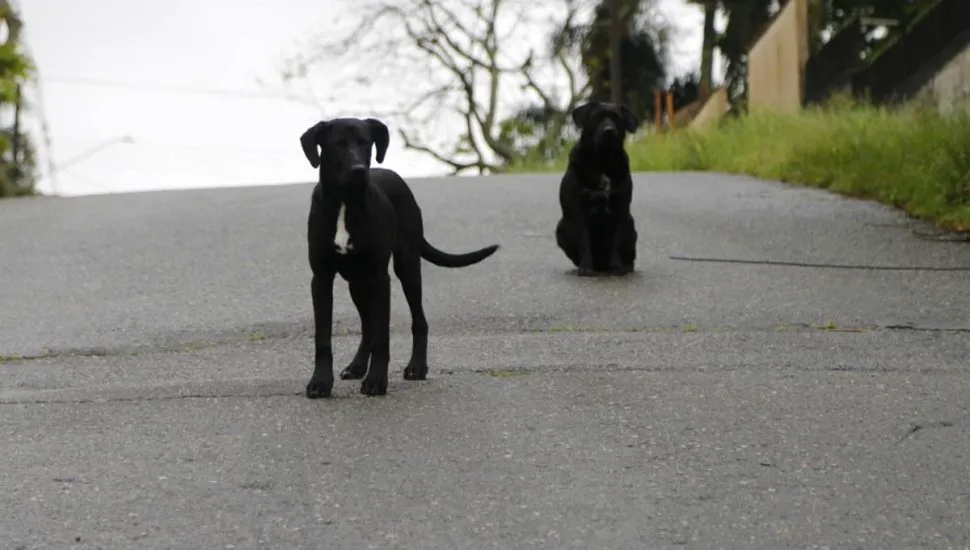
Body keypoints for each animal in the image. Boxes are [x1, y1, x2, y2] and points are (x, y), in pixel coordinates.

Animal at [298, 118, 500, 398]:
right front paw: (320, 382)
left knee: (418, 321)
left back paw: (417, 367)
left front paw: (376, 381)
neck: (345, 202)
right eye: (338, 144)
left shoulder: (380, 277)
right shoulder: (321, 278)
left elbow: (383, 337)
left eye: (365, 143)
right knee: (368, 326)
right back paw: (356, 366)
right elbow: (323, 337)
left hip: (407, 267)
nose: (359, 170)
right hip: (357, 282)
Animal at [556, 100, 640, 276]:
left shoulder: (621, 210)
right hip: (561, 228)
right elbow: (584, 241)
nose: (609, 130)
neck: (603, 162)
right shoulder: (579, 211)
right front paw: (586, 268)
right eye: (597, 117)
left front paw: (617, 267)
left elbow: (617, 242)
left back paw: (625, 267)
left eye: (617, 119)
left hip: (631, 226)